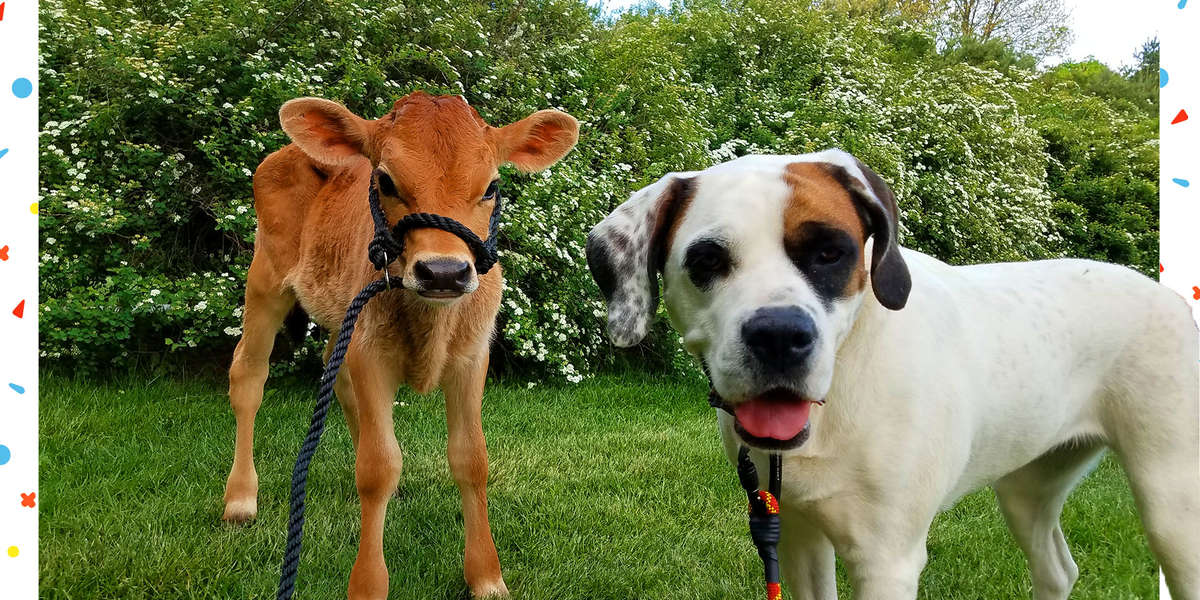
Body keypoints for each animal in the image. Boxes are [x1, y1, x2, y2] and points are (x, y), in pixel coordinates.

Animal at [225, 91, 580, 597]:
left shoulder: (472, 356)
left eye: (491, 186)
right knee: (249, 374)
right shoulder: (370, 354)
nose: (444, 272)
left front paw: (487, 576)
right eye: (386, 180)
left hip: (341, 315)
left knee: (337, 379)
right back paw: (240, 498)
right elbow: (377, 468)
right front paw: (367, 585)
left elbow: (472, 458)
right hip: (266, 278)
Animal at [585, 147, 1195, 597]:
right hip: (1028, 486)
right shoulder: (799, 536)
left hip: (1171, 506)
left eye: (830, 253)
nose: (779, 335)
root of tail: (1168, 296)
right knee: (1058, 570)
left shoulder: (886, 560)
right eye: (708, 260)